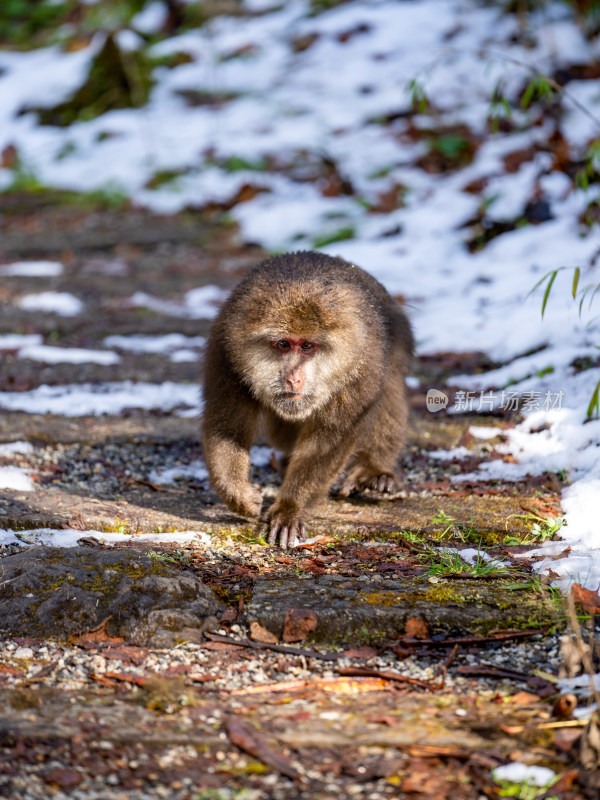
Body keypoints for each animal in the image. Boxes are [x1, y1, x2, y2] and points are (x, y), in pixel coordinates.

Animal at [202, 252, 412, 552]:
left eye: (307, 346)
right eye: (283, 344)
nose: (293, 378)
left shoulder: (362, 364)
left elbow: (330, 438)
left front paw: (290, 507)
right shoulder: (226, 353)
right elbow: (226, 427)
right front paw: (238, 494)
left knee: (391, 384)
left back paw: (375, 471)